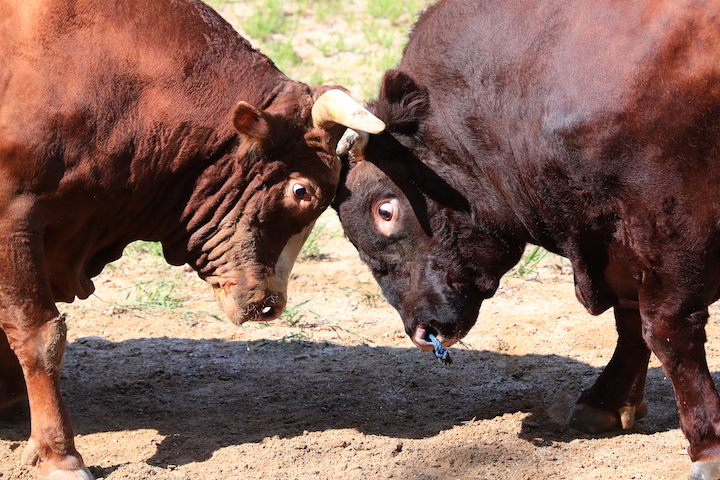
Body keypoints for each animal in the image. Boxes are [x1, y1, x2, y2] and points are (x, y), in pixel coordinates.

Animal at [334, 1, 720, 478]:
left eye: (384, 210)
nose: (422, 331)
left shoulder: (671, 217)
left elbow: (667, 328)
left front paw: (708, 444)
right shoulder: (616, 239)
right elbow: (630, 321)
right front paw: (605, 401)